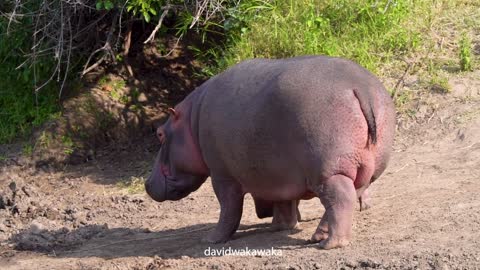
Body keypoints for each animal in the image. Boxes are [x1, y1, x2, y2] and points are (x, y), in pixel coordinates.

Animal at [145, 54, 394, 249]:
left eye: (160, 134)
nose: (147, 183)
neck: (191, 121)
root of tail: (360, 88)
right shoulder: (278, 174)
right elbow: (284, 203)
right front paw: (279, 227)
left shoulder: (222, 175)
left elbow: (229, 209)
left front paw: (210, 239)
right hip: (362, 170)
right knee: (348, 196)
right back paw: (318, 236)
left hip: (328, 172)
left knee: (340, 200)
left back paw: (329, 244)